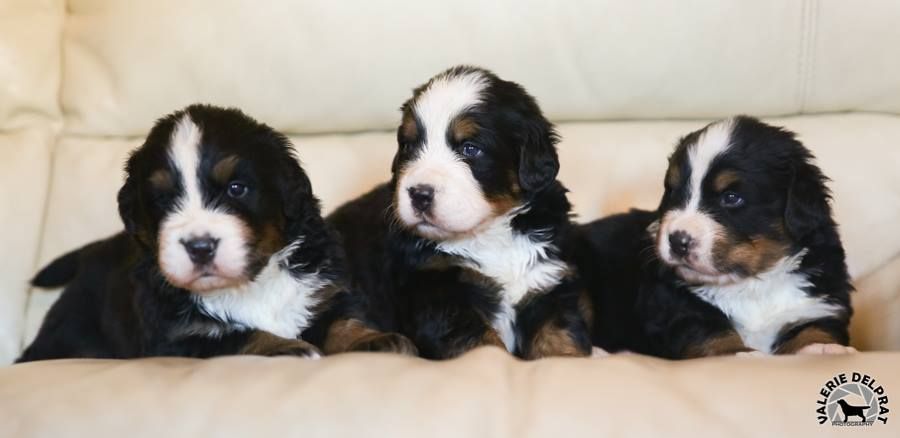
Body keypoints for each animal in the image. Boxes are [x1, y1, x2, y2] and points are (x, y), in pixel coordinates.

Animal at [19, 103, 414, 362]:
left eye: (236, 189)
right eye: (162, 199)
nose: (200, 246)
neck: (249, 285)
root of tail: (93, 251)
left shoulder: (324, 292)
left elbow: (342, 322)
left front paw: (375, 338)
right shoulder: (180, 338)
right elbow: (239, 335)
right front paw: (285, 345)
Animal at [326, 65, 596, 360]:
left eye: (470, 148)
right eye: (409, 146)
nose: (419, 194)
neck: (490, 235)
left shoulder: (546, 280)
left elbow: (560, 339)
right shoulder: (437, 292)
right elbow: (483, 343)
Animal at [572, 117, 856, 360]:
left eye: (731, 197)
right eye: (673, 192)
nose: (677, 240)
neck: (751, 285)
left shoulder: (821, 301)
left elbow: (816, 328)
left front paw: (825, 349)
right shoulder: (676, 303)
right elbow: (713, 334)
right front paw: (742, 353)